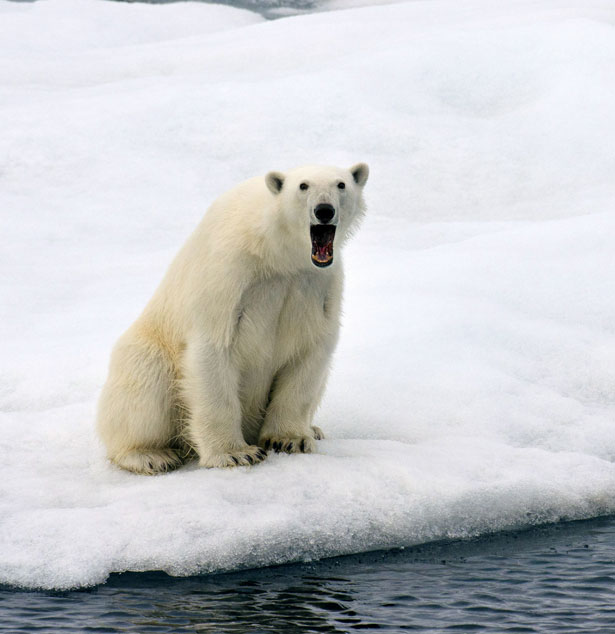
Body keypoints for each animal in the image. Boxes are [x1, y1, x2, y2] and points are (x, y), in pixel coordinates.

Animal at [96, 162, 370, 470]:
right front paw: (236, 453)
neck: (275, 251)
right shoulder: (231, 274)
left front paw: (290, 439)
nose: (324, 210)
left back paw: (315, 429)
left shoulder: (317, 286)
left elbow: (309, 354)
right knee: (144, 384)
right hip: (150, 347)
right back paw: (151, 455)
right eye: (303, 185)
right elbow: (214, 348)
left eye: (341, 184)